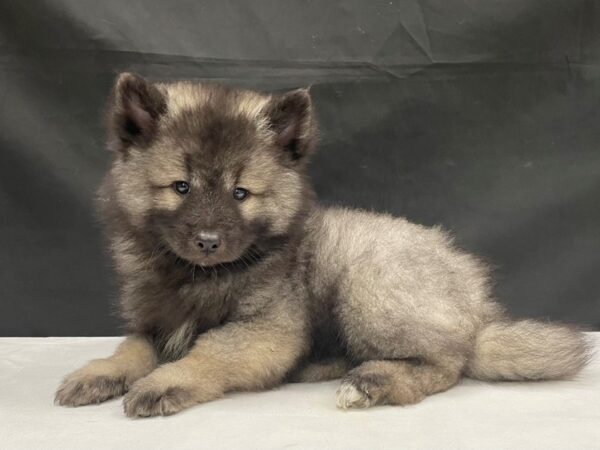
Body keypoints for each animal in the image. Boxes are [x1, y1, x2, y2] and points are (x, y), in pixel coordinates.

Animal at [56, 72, 592, 416]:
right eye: (181, 187)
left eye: (240, 193)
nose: (209, 242)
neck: (198, 277)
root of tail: (477, 306)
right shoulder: (154, 324)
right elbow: (130, 349)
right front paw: (97, 372)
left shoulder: (265, 331)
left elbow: (208, 353)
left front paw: (165, 382)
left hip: (367, 283)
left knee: (447, 364)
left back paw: (373, 382)